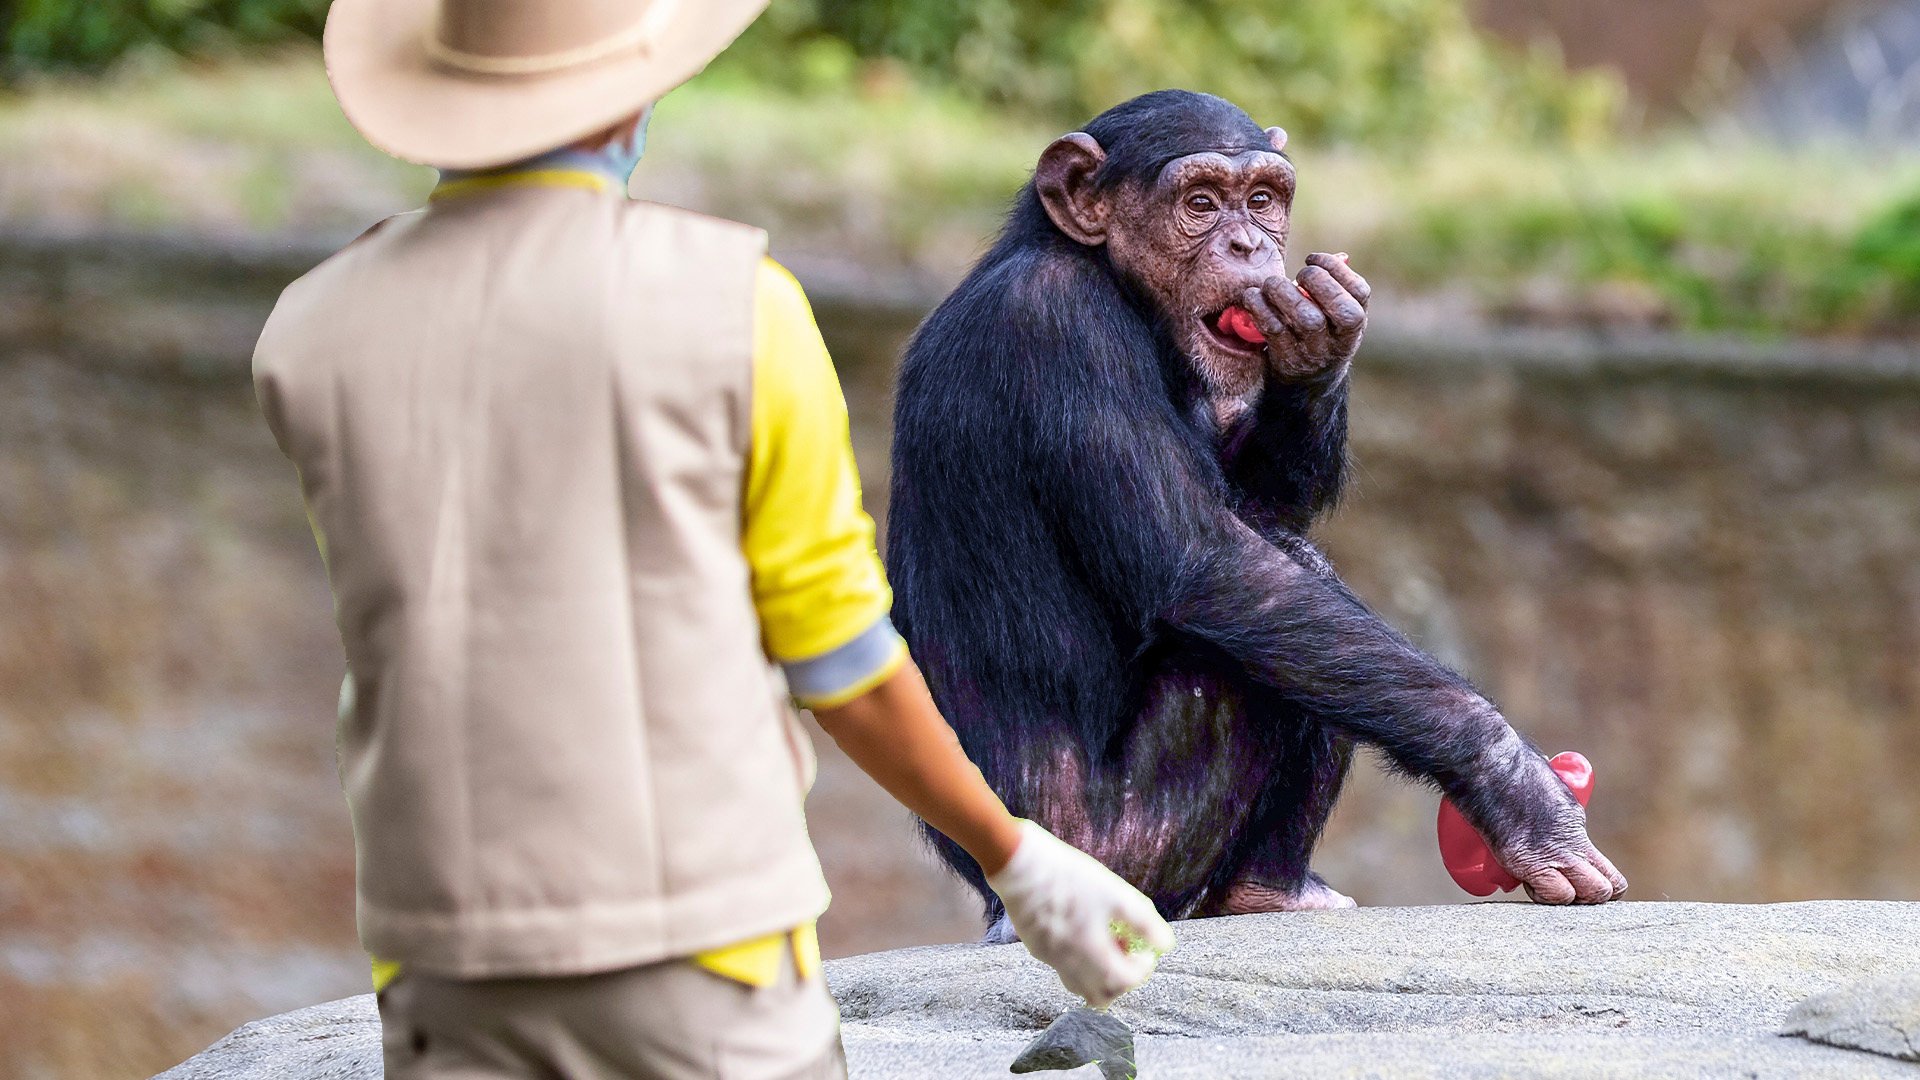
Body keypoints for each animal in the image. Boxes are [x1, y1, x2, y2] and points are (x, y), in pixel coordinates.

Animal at [883, 88, 1620, 930]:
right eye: (1201, 202)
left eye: (1263, 200)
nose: (1248, 243)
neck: (1110, 280)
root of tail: (994, 901)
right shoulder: (1058, 327)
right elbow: (1205, 561)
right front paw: (1517, 787)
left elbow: (1260, 505)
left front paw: (1319, 341)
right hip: (1121, 851)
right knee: (1262, 615)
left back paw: (1272, 889)